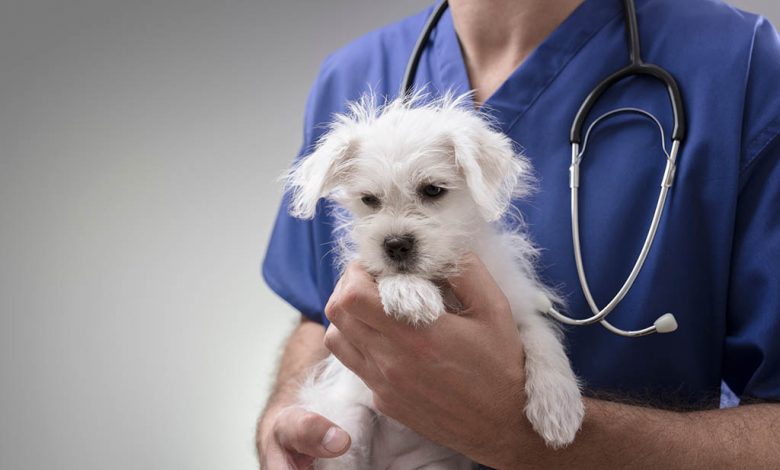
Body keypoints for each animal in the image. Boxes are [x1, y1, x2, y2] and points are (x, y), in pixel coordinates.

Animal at [284, 93, 580, 468]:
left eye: (433, 190)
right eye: (369, 200)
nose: (395, 244)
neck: (439, 278)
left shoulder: (516, 306)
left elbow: (542, 338)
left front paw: (558, 405)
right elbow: (388, 276)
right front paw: (409, 292)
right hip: (347, 427)